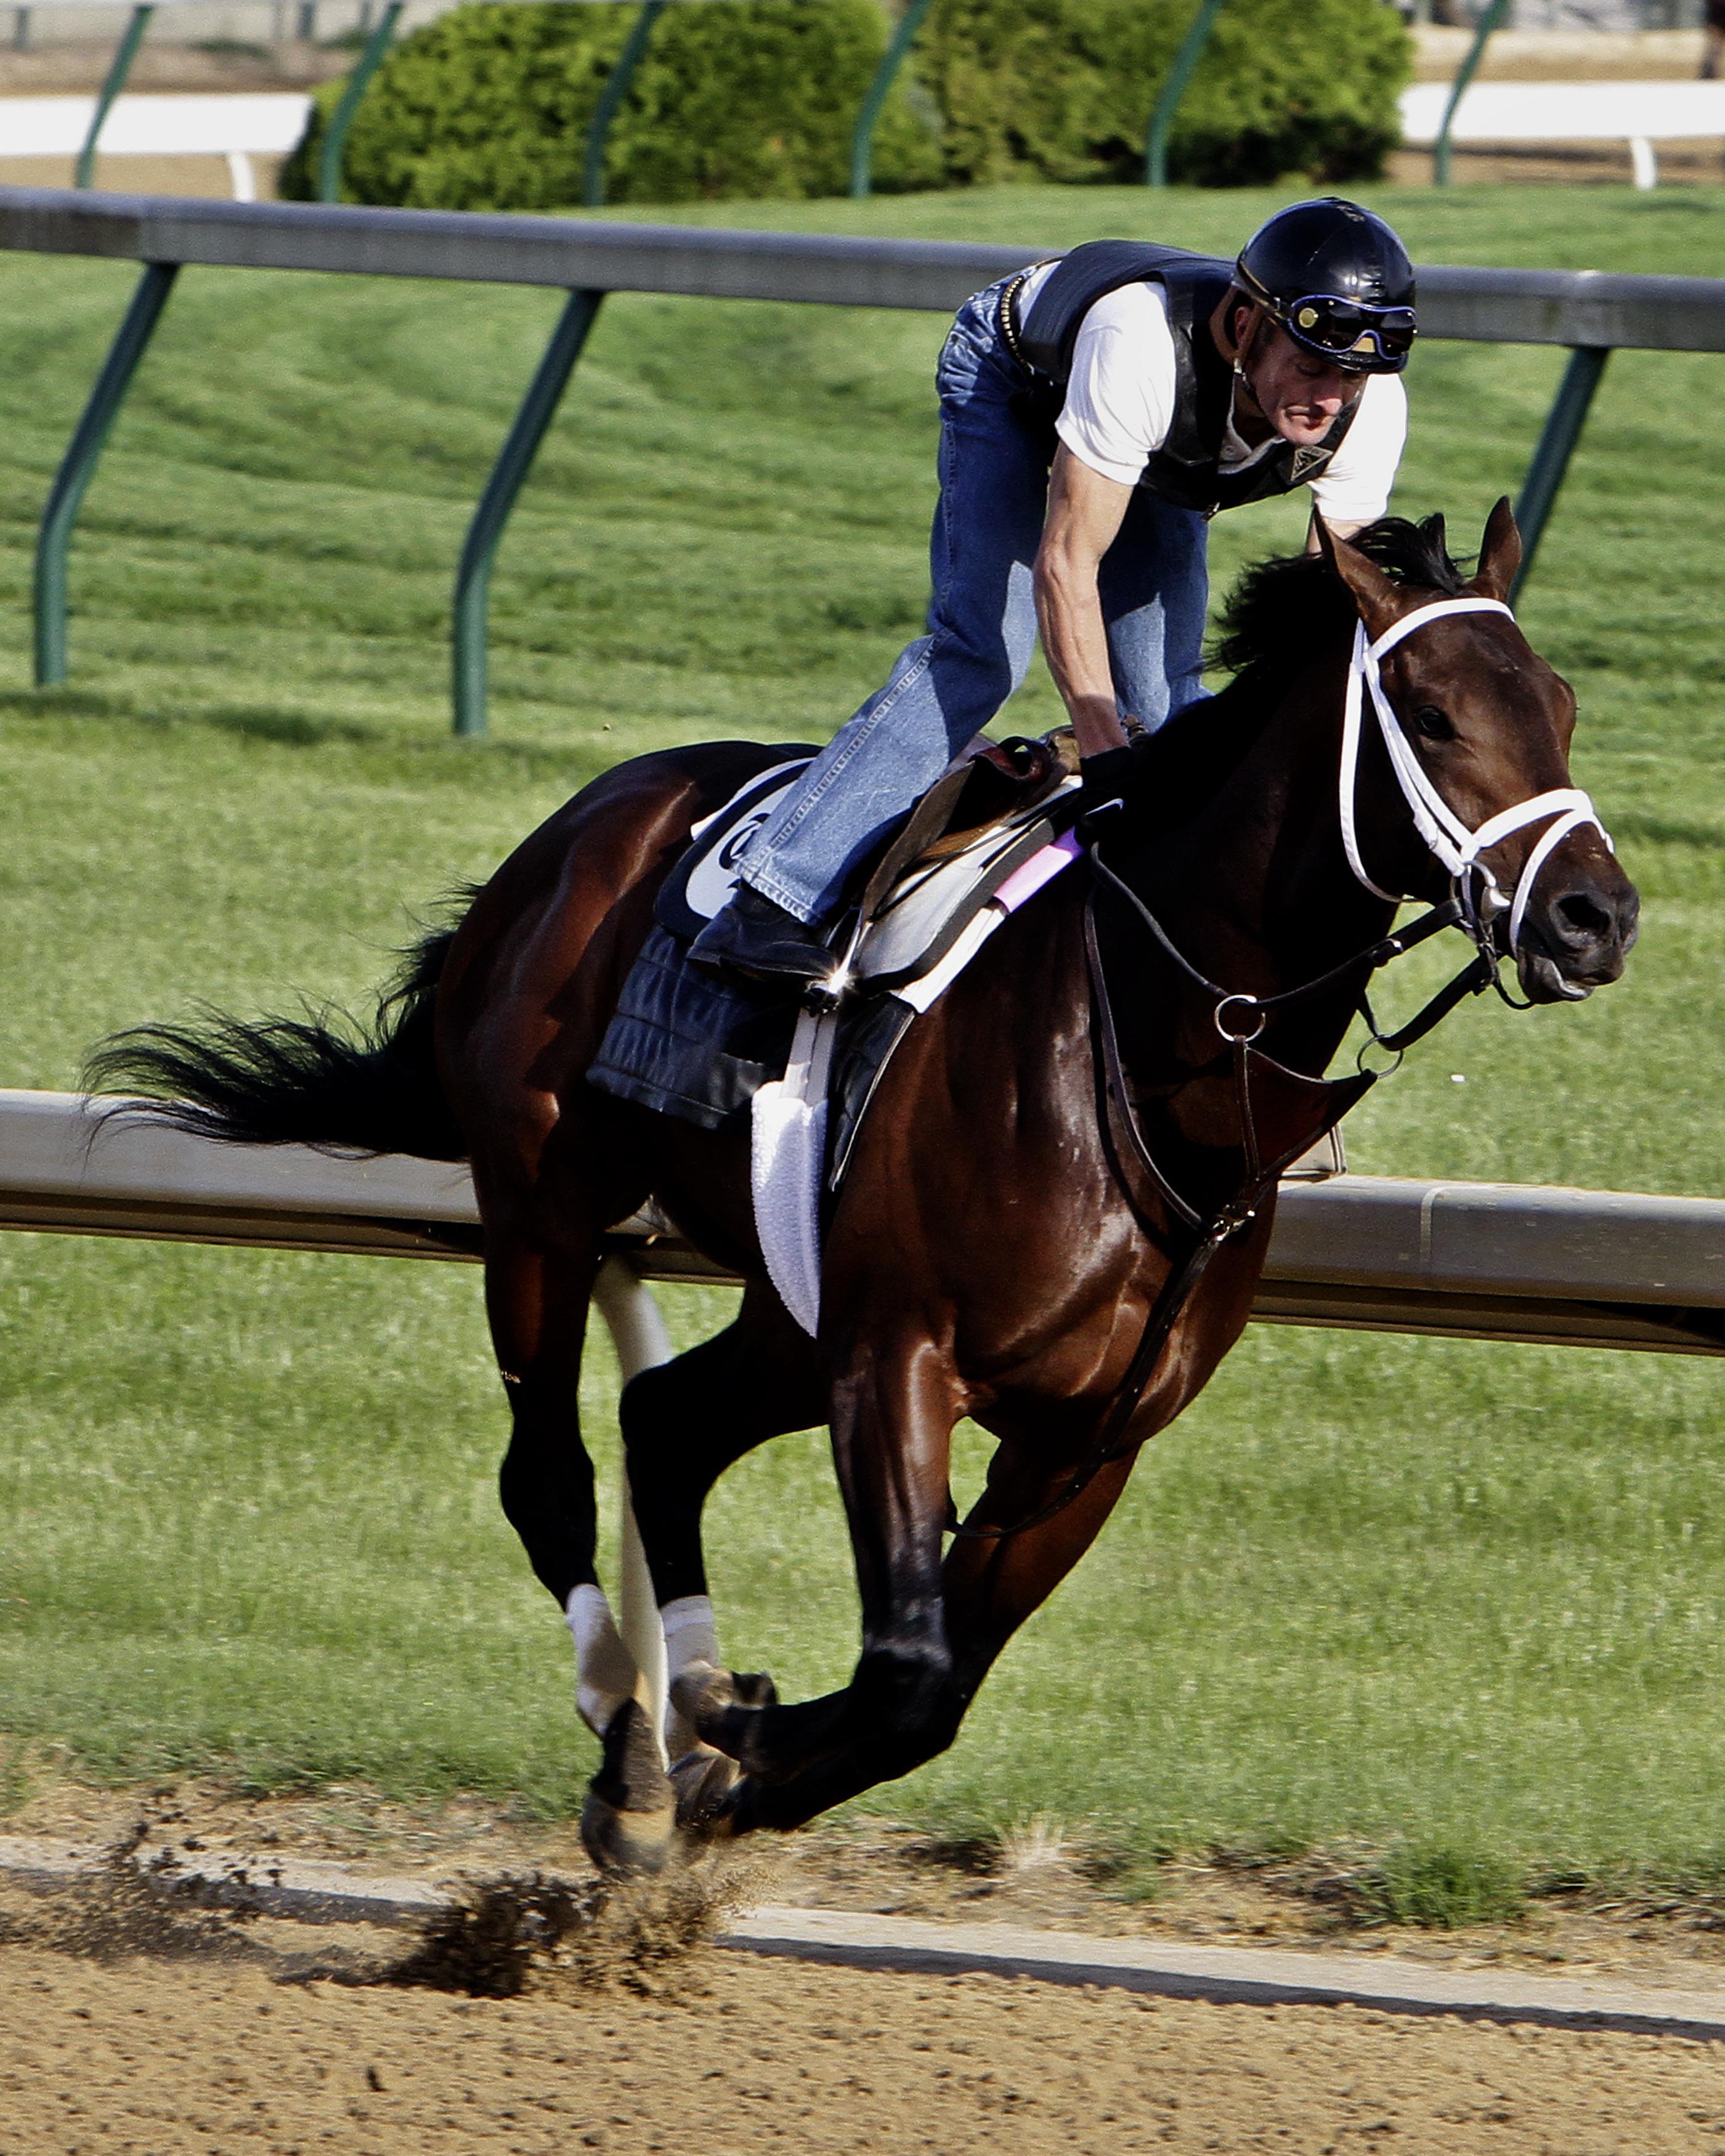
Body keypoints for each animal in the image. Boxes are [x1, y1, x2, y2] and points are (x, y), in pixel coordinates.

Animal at [97, 505, 1647, 1871]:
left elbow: (933, 1690)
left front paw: (737, 1753)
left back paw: (673, 1724)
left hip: (793, 1307)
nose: (1594, 915)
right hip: (544, 1211)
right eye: (1434, 714)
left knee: (665, 1423)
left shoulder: (1083, 1441)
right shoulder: (901, 1352)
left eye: (1561, 705)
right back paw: (629, 1731)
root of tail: (574, 829)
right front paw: (731, 1743)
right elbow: (905, 1663)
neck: (1152, 1047)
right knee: (549, 1471)